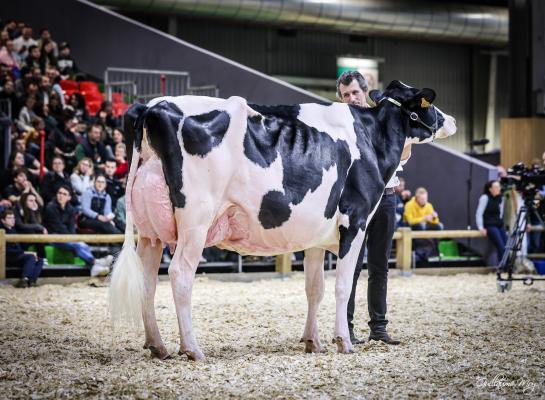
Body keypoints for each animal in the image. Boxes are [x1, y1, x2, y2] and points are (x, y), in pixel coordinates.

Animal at [109, 80, 454, 360]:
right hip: (196, 219)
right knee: (180, 274)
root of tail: (153, 105)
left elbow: (315, 288)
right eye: (427, 104)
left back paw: (157, 346)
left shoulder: (316, 234)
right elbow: (343, 285)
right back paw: (192, 349)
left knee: (147, 280)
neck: (371, 139)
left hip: (150, 230)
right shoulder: (355, 221)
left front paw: (313, 342)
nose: (451, 120)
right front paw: (343, 341)